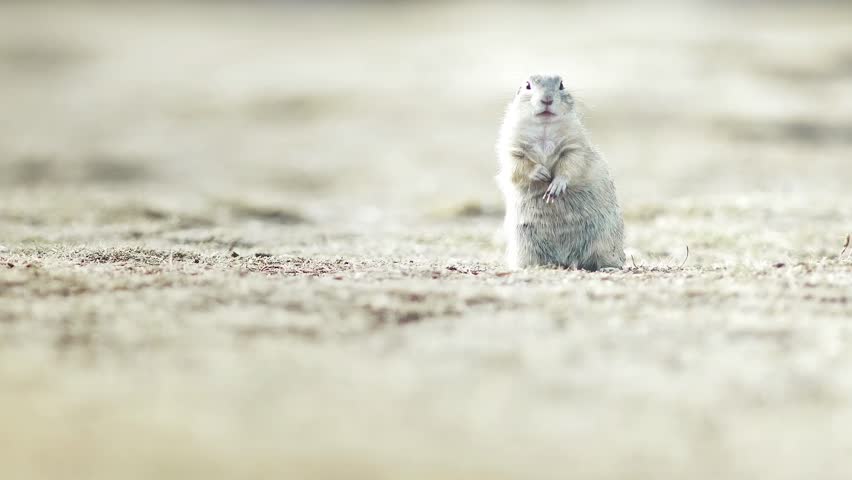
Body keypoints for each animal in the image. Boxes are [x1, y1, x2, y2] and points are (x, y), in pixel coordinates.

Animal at [496, 74, 625, 271]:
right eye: (527, 85)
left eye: (561, 84)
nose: (547, 99)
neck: (544, 129)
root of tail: (566, 260)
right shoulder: (511, 145)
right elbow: (516, 164)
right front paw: (540, 173)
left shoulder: (575, 143)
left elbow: (571, 162)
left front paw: (556, 184)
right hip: (523, 243)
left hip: (605, 239)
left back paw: (608, 267)